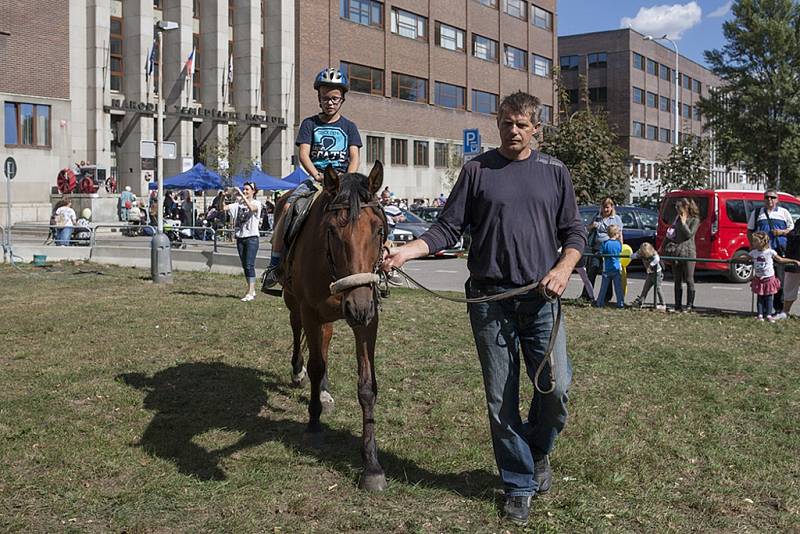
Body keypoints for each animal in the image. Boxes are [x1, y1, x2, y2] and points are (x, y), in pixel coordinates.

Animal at [282, 163, 388, 494]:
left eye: (379, 229)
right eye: (332, 230)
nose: (358, 307)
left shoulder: (368, 320)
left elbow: (366, 387)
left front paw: (372, 466)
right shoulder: (309, 310)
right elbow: (316, 367)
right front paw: (314, 424)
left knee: (325, 342)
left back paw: (326, 393)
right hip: (294, 302)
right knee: (297, 332)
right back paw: (297, 372)